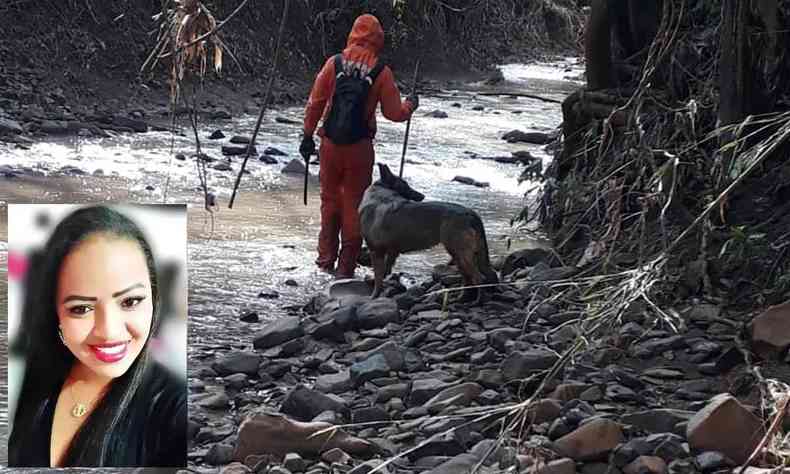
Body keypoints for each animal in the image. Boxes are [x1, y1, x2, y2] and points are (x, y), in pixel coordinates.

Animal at [360, 163, 498, 304]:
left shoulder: (376, 251)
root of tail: (470, 212)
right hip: (459, 255)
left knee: (478, 278)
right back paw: (462, 298)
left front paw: (374, 297)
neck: (379, 194)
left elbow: (378, 279)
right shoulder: (391, 252)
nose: (422, 196)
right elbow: (385, 273)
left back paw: (478, 301)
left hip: (460, 253)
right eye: (405, 186)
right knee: (469, 278)